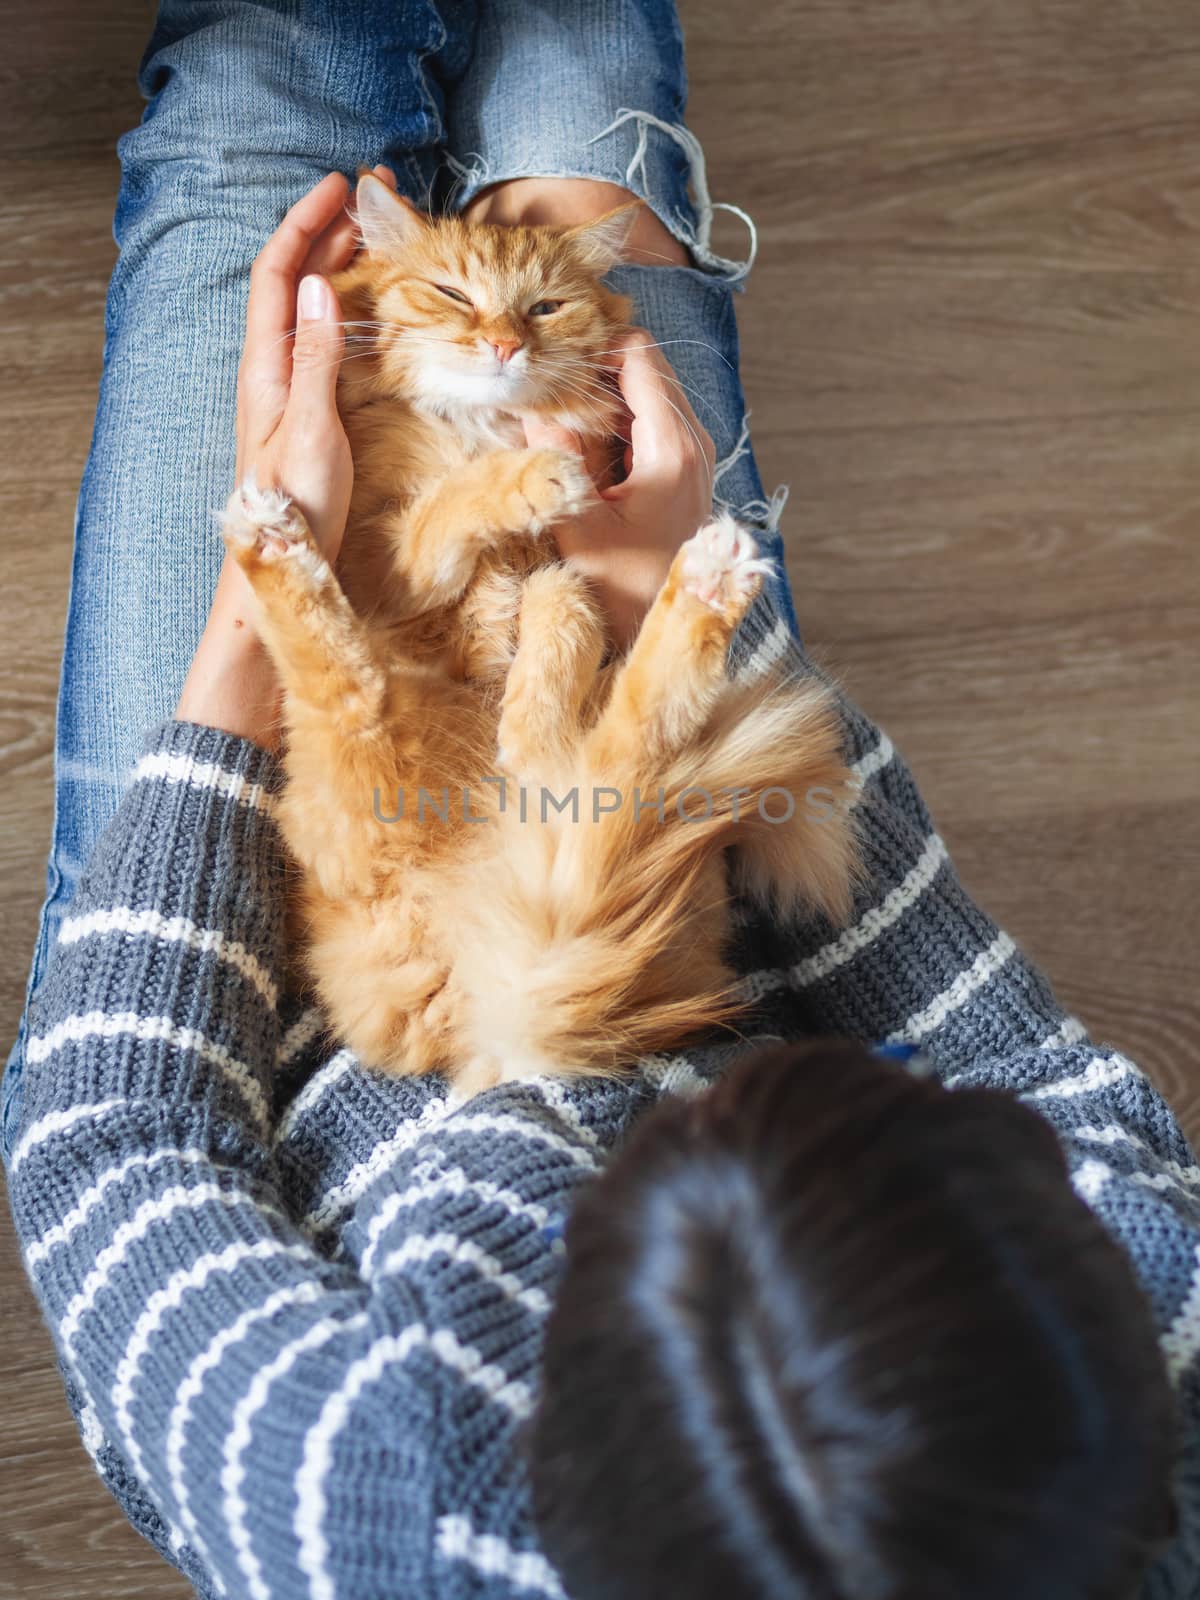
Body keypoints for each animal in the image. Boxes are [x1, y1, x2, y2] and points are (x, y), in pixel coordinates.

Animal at [224, 178, 864, 1100]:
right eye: (453, 293)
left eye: (545, 307)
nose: (501, 345)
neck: (478, 427)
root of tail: (478, 1028)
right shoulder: (382, 572)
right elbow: (450, 510)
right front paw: (528, 481)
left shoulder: (553, 572)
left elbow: (562, 604)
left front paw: (528, 722)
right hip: (360, 741)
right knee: (344, 675)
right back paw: (270, 538)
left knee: (627, 740)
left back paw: (699, 590)